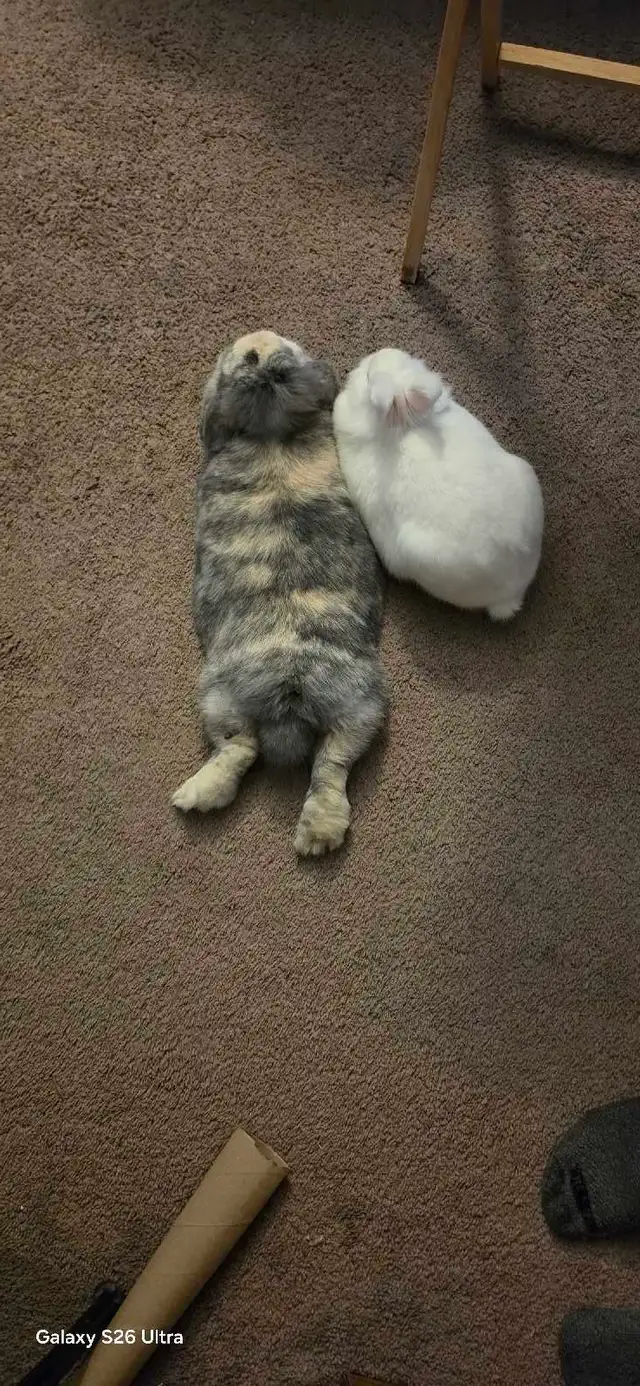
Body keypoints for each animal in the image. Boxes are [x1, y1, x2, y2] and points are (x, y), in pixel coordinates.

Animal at [171, 330, 387, 856]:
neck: (272, 431)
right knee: (329, 763)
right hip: (357, 707)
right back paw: (318, 834)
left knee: (247, 748)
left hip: (221, 696)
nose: (258, 341)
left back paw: (197, 797)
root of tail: (293, 686)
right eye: (254, 358)